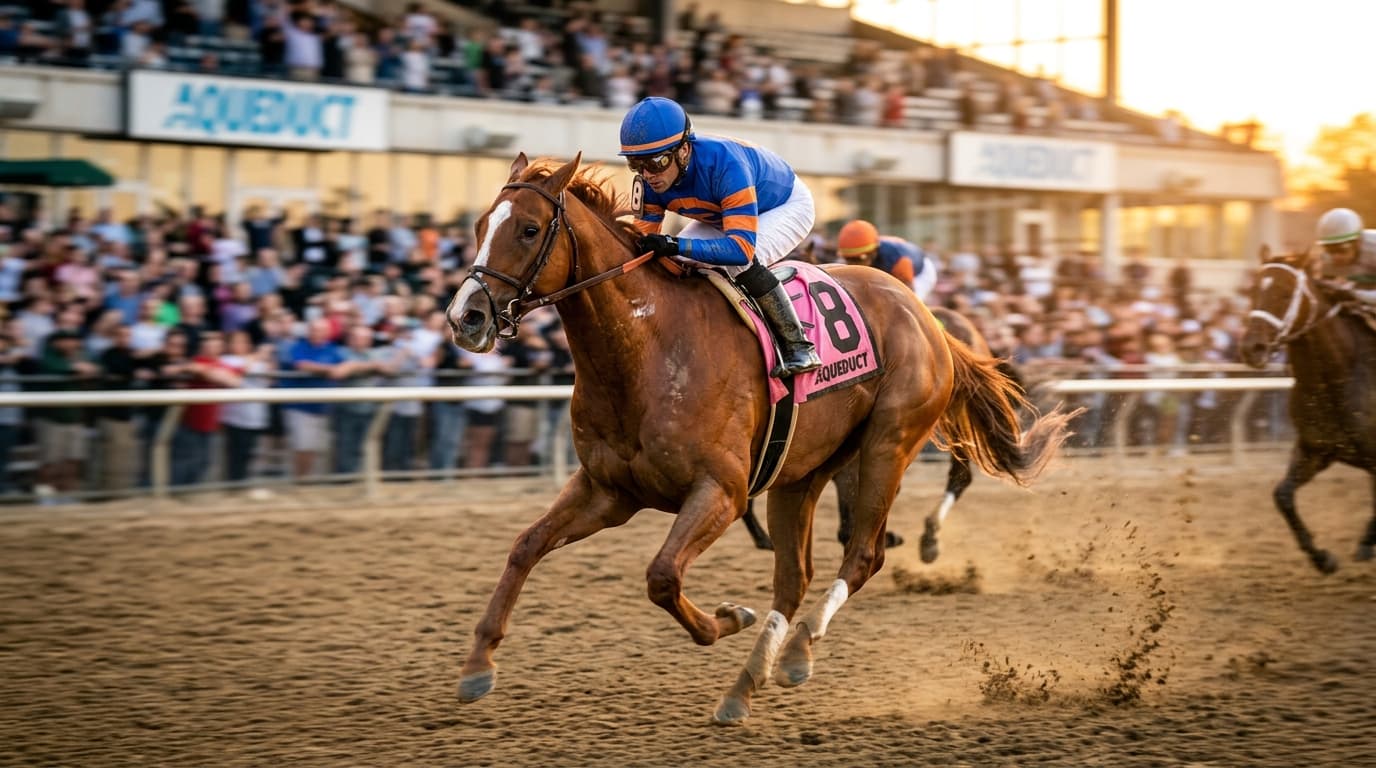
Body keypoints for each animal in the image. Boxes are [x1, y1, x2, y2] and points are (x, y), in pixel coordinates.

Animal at [1239, 247, 1376, 573]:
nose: (1252, 348)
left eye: (1285, 292)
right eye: (1253, 290)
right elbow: (1282, 495)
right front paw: (1322, 557)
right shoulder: (1315, 449)